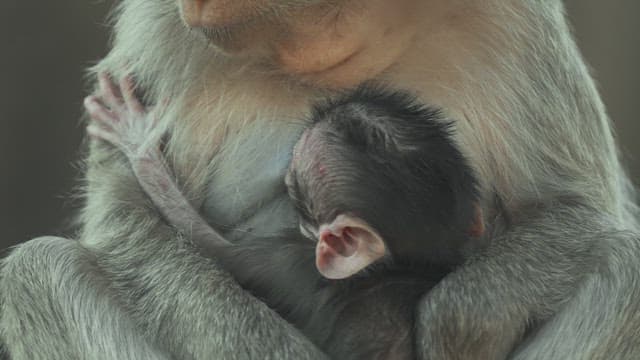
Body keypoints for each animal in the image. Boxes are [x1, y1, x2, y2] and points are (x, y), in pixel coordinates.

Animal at [86, 74, 484, 358]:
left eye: (293, 185)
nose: (280, 176)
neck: (395, 265)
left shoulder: (291, 263)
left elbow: (215, 249)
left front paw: (138, 143)